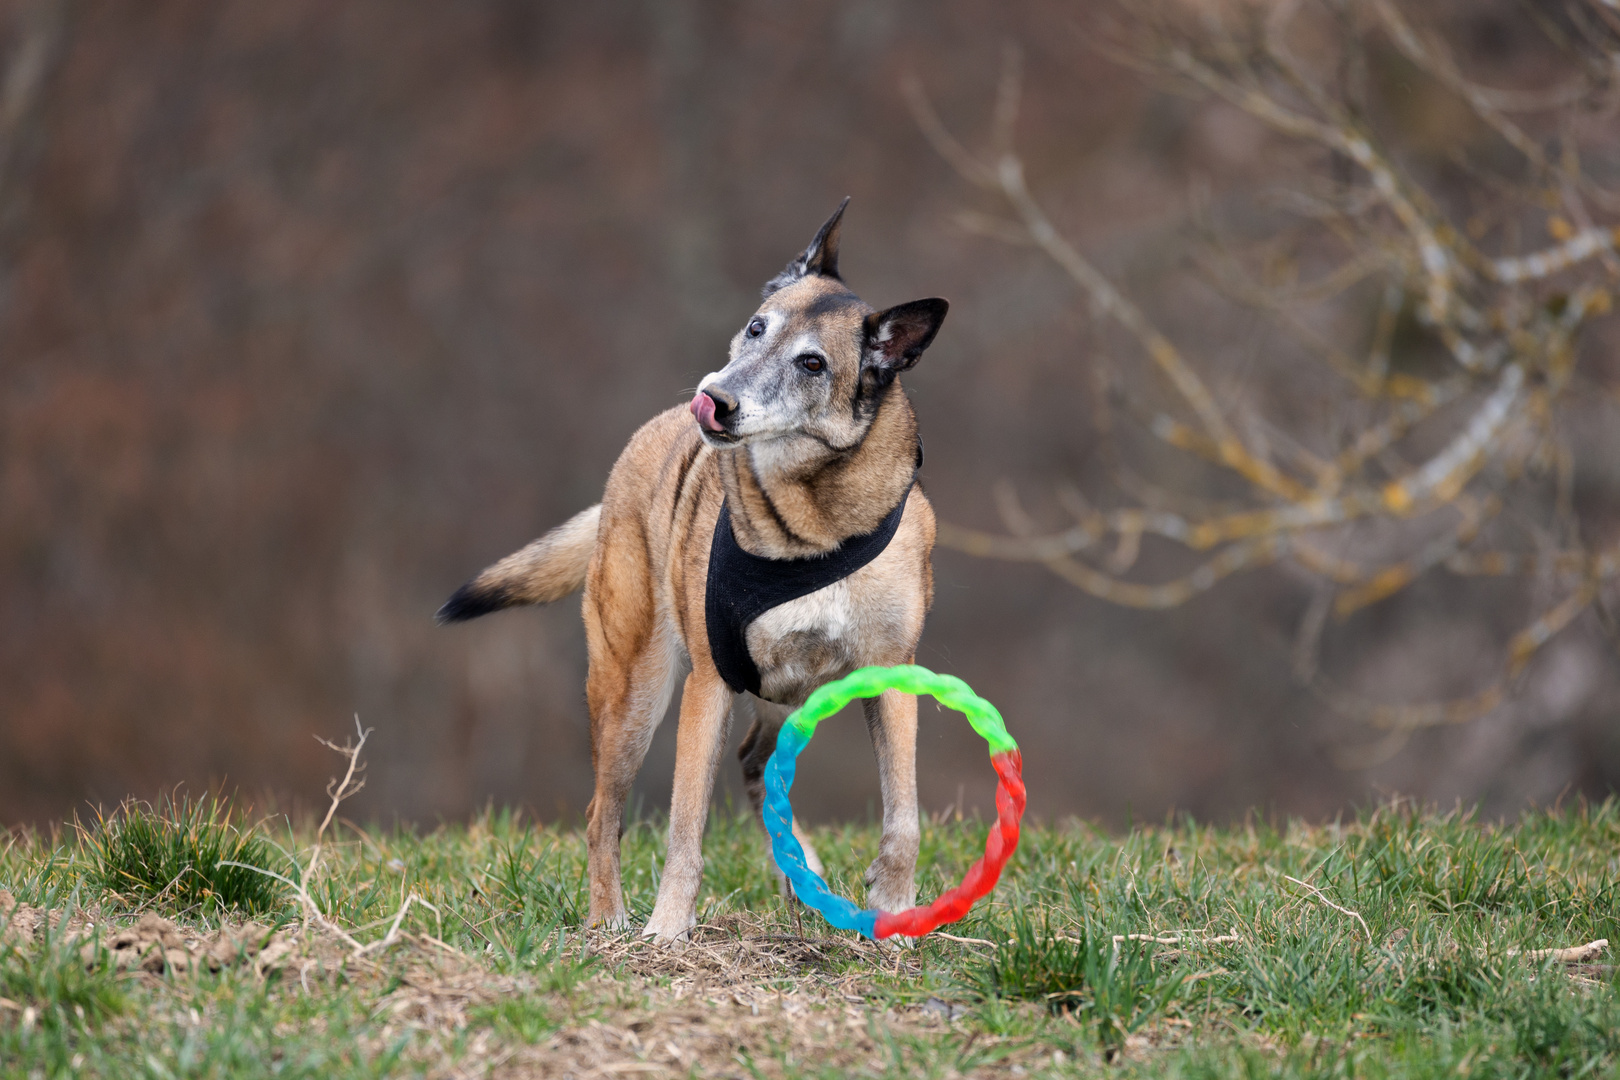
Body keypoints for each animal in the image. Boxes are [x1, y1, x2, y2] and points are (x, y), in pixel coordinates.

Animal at [440, 202, 946, 945]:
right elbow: (684, 827)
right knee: (603, 814)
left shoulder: (890, 677)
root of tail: (641, 444)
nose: (715, 398)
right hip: (634, 693)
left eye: (812, 363)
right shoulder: (711, 684)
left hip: (782, 699)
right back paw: (612, 924)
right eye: (757, 327)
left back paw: (803, 880)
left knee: (757, 767)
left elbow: (903, 815)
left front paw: (896, 913)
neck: (814, 524)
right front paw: (667, 932)